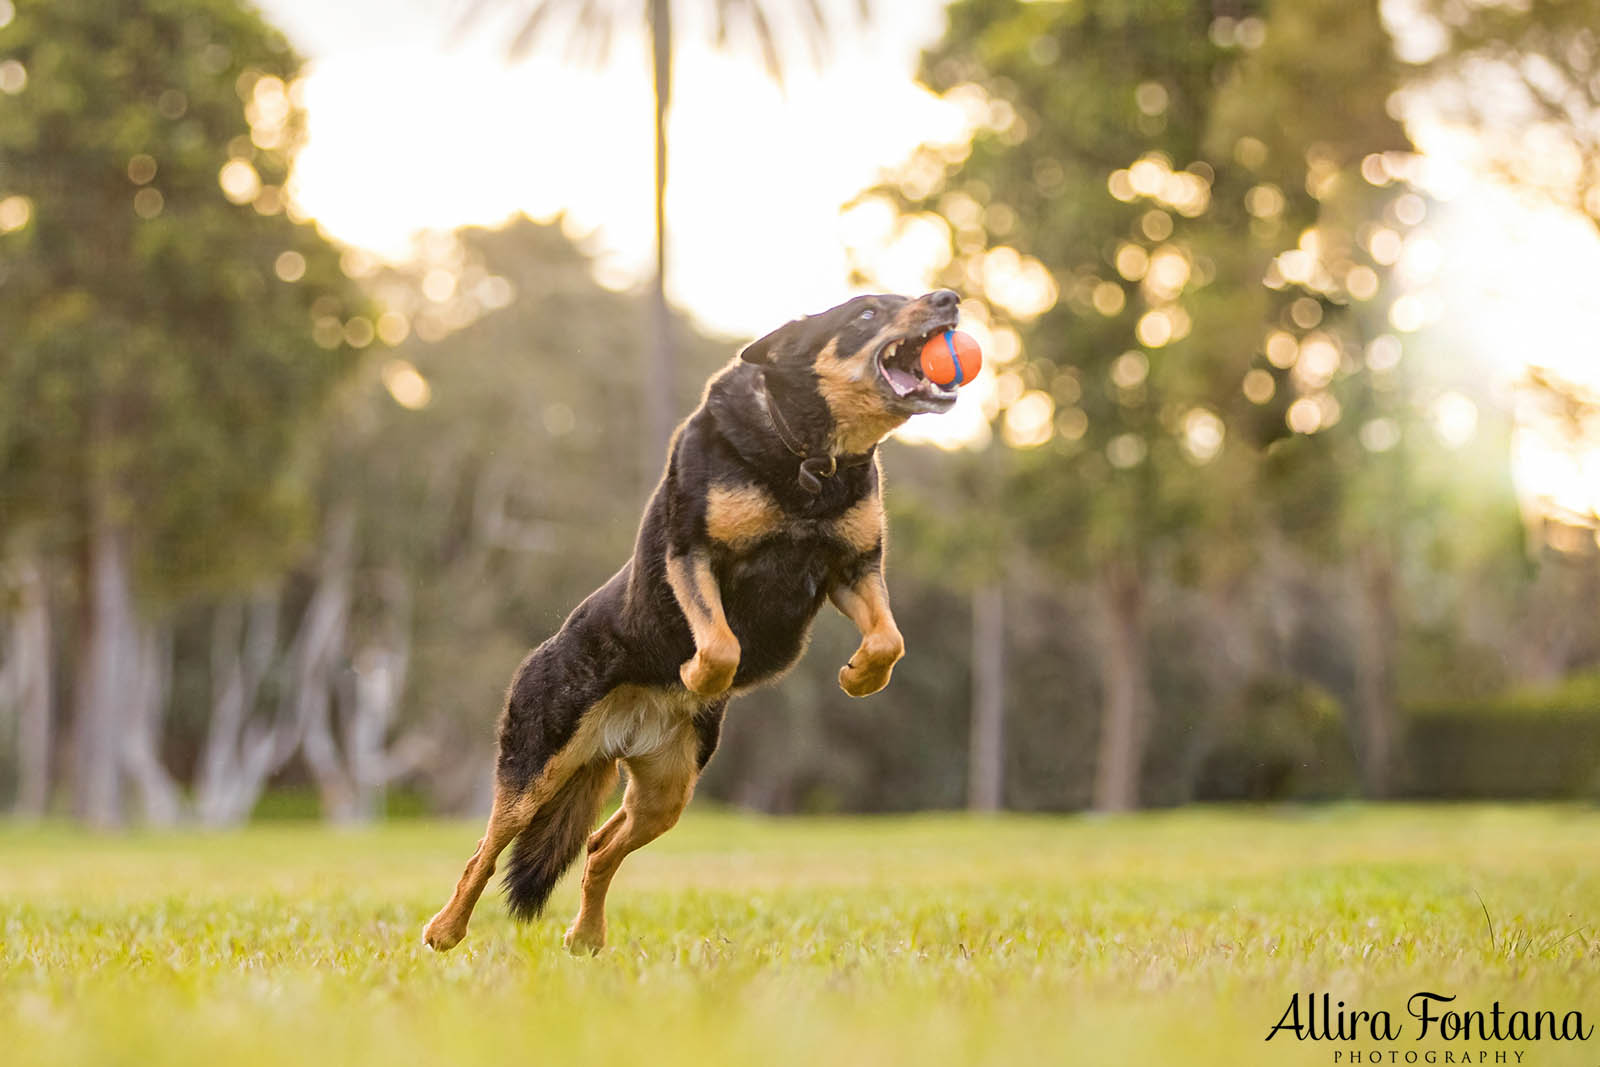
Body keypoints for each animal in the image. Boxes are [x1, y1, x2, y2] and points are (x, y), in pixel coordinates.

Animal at [425, 287, 960, 953]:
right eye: (867, 312)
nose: (950, 298)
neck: (810, 457)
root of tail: (618, 732)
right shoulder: (693, 551)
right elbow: (723, 643)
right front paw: (700, 676)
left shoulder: (853, 568)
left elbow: (890, 638)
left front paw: (861, 676)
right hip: (537, 767)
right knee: (486, 851)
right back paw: (446, 929)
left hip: (667, 792)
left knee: (600, 847)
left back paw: (587, 937)